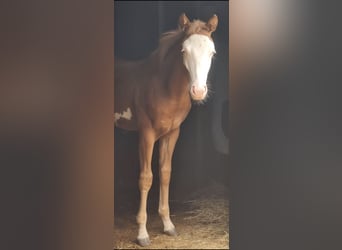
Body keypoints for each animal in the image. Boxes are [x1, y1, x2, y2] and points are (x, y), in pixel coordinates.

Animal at [113, 13, 218, 246]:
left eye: (212, 52)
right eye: (184, 50)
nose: (198, 91)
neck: (165, 88)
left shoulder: (172, 133)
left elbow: (165, 173)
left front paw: (168, 224)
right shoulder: (146, 133)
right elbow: (146, 178)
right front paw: (142, 233)